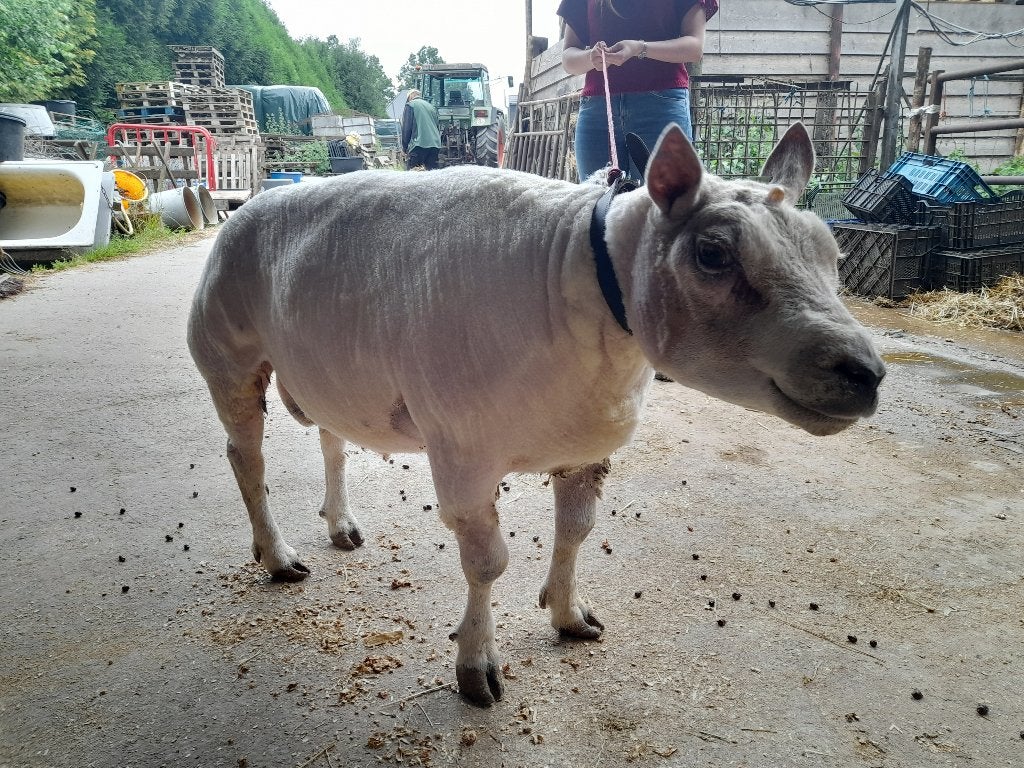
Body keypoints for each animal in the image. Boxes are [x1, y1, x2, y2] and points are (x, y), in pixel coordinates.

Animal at [187, 123, 884, 707]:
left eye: (833, 254)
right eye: (713, 253)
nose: (866, 374)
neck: (573, 277)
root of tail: (248, 204)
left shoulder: (586, 445)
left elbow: (575, 531)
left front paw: (569, 615)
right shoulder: (463, 453)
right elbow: (487, 564)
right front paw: (476, 666)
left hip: (328, 374)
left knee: (331, 440)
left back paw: (340, 525)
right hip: (226, 354)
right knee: (246, 459)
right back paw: (277, 556)